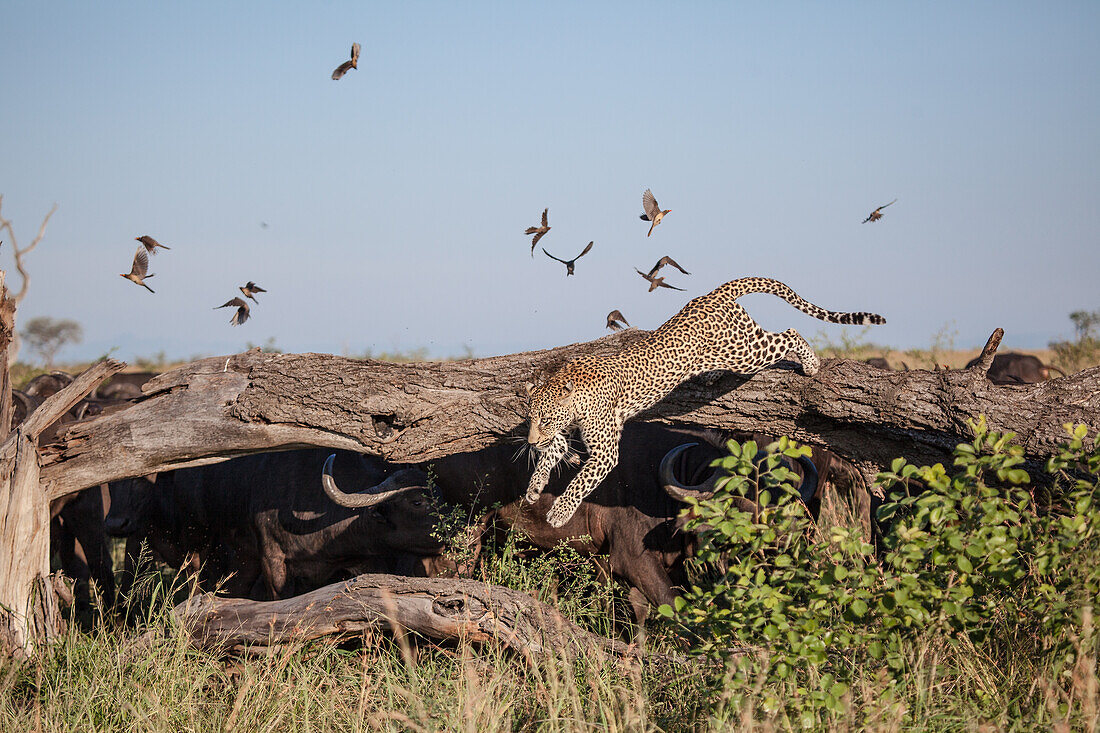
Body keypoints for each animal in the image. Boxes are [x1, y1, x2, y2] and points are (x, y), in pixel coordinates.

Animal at [523, 274, 884, 526]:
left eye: (545, 418)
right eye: (533, 419)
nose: (530, 440)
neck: (573, 396)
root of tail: (714, 293)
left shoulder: (605, 450)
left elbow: (580, 481)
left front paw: (559, 513)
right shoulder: (566, 431)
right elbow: (551, 454)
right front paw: (534, 487)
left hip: (745, 352)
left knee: (788, 334)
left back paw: (811, 364)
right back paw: (710, 375)